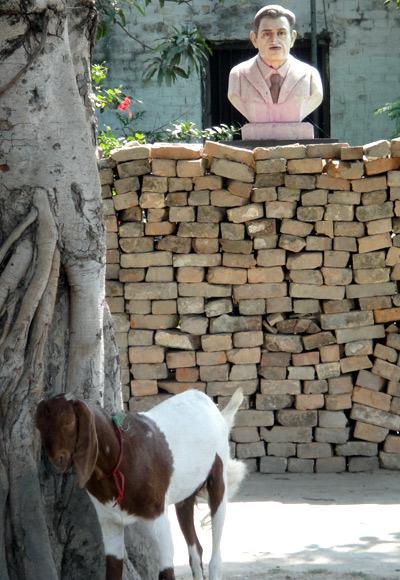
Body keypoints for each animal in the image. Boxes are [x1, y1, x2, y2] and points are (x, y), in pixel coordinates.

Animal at [36, 388, 245, 576]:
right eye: (40, 426)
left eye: (69, 422)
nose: (55, 460)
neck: (120, 460)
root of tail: (209, 403)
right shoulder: (109, 524)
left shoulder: (160, 524)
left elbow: (167, 571)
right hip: (184, 496)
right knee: (195, 551)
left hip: (218, 481)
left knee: (215, 557)